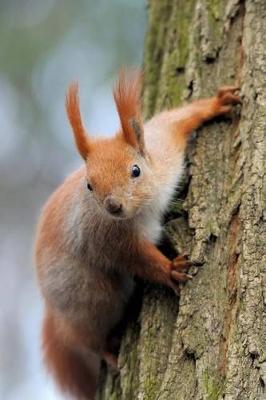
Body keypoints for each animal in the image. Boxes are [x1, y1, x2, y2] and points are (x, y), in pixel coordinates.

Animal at [34, 70, 240, 398]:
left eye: (135, 170)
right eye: (89, 185)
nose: (113, 205)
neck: (145, 207)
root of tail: (53, 309)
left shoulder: (164, 148)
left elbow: (175, 120)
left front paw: (215, 104)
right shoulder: (107, 238)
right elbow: (138, 260)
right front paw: (171, 269)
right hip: (90, 295)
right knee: (84, 335)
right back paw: (106, 351)